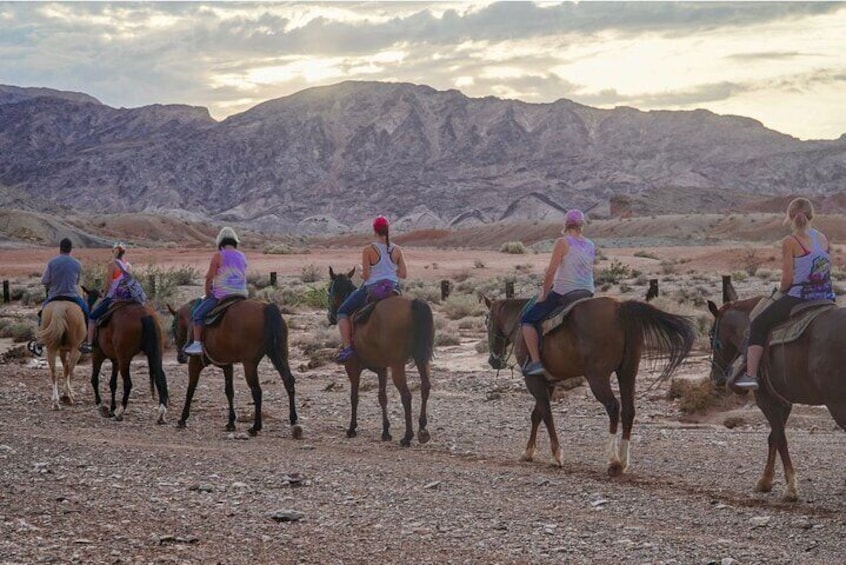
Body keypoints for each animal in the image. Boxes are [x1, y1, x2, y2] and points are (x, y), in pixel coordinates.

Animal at [83, 288, 169, 420]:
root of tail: (145, 315)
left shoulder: (97, 355)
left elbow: (94, 379)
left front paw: (101, 406)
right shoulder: (115, 360)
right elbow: (112, 383)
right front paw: (112, 408)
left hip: (124, 359)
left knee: (128, 384)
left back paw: (121, 411)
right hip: (156, 355)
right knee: (161, 378)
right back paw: (161, 413)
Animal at [168, 298, 302, 438]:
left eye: (173, 326)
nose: (181, 357)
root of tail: (267, 307)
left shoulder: (195, 363)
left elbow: (190, 390)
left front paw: (183, 418)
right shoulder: (227, 366)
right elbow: (229, 391)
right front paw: (231, 422)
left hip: (250, 364)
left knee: (257, 390)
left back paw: (255, 427)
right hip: (279, 355)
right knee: (288, 381)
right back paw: (293, 420)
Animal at [328, 266, 438, 448]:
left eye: (329, 289)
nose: (330, 316)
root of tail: (412, 304)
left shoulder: (352, 367)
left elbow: (354, 397)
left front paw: (352, 428)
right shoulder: (382, 370)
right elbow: (382, 397)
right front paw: (386, 431)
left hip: (397, 365)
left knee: (406, 395)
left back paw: (407, 437)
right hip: (421, 359)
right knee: (425, 387)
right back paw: (422, 430)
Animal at [484, 296, 696, 476]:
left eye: (487, 322)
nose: (493, 360)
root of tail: (620, 307)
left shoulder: (533, 380)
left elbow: (546, 415)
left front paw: (556, 455)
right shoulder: (547, 382)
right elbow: (537, 414)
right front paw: (528, 452)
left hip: (598, 377)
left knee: (613, 407)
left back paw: (613, 461)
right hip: (627, 374)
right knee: (628, 410)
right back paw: (623, 461)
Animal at [708, 298, 846, 500]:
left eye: (710, 335)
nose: (714, 377)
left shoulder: (765, 399)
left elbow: (780, 438)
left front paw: (791, 488)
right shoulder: (783, 401)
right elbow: (773, 437)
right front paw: (765, 480)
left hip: (837, 405)